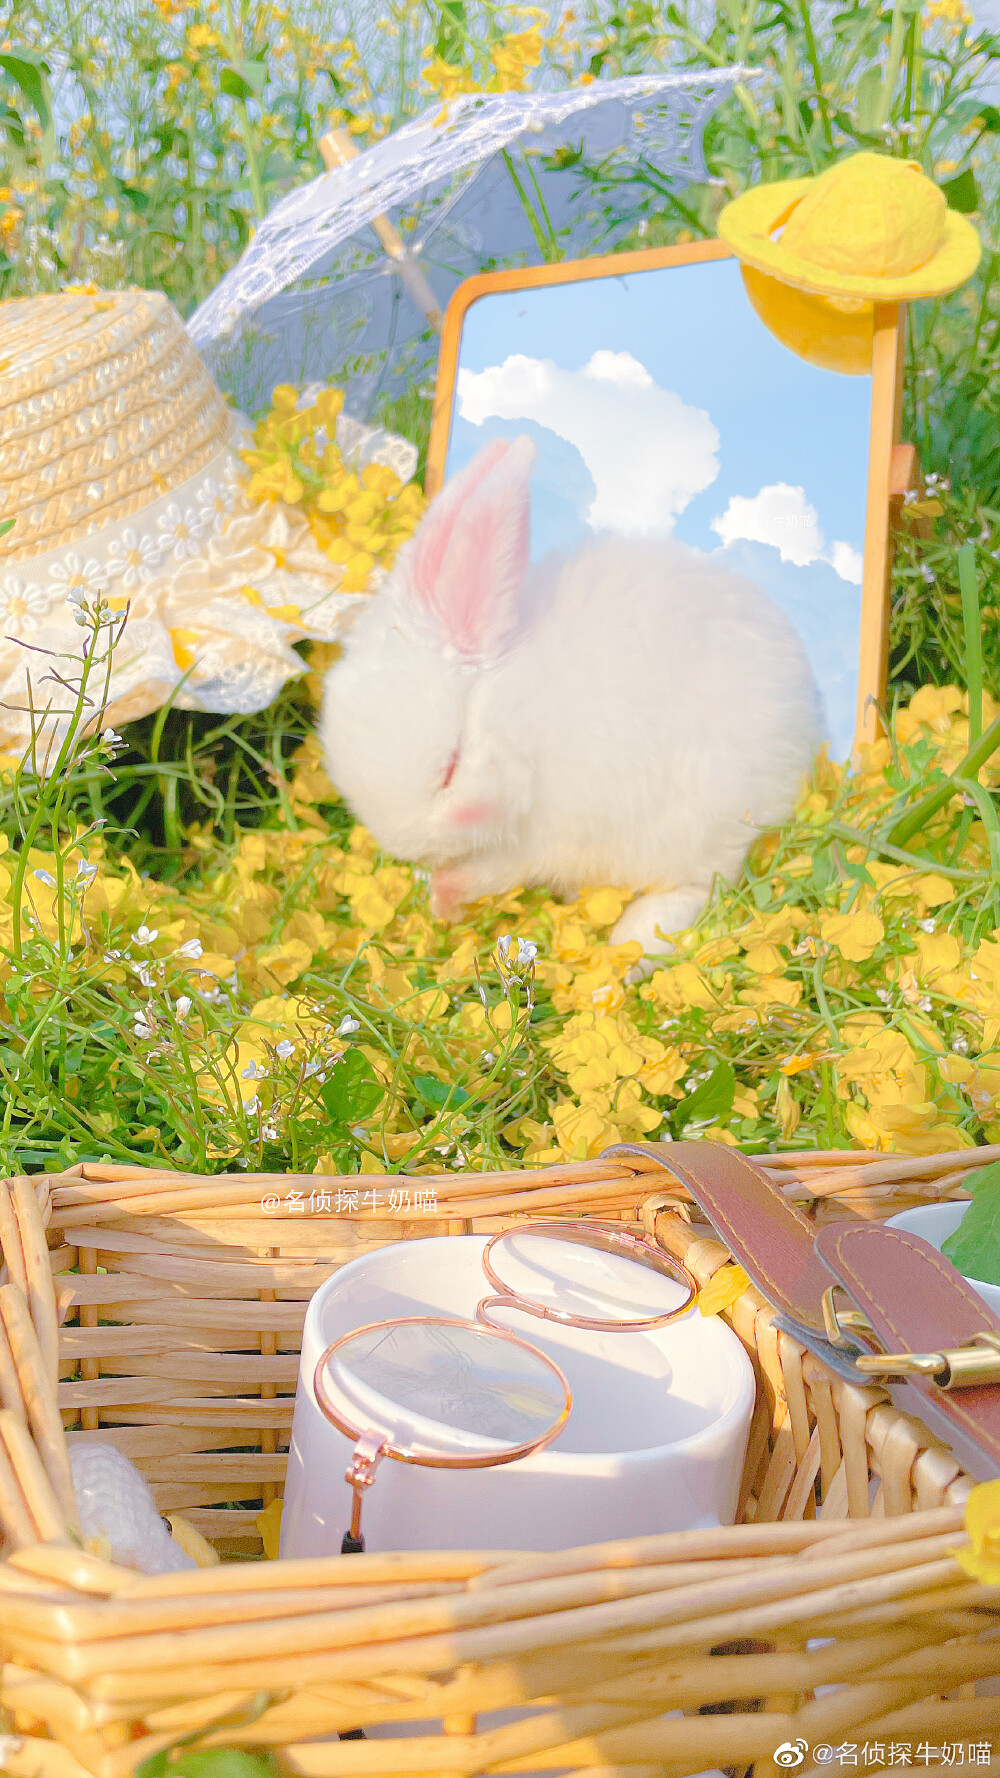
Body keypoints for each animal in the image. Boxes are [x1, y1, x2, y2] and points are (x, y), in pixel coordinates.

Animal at [318, 432, 818, 960]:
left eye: (451, 767)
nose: (405, 847)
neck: (517, 717)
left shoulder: (543, 832)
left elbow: (494, 871)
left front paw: (444, 895)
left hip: (697, 825)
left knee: (691, 892)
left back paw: (628, 953)